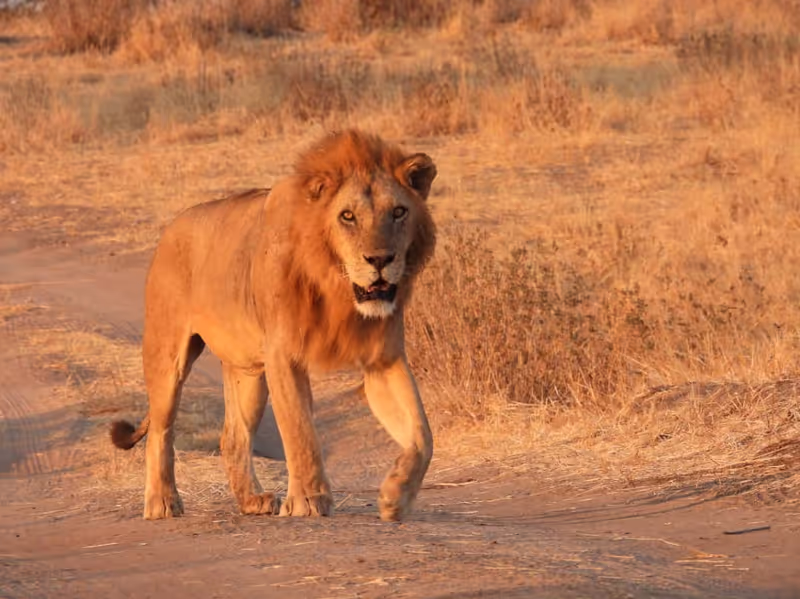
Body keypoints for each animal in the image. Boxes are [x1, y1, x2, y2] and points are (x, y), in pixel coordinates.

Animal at [110, 130, 437, 522]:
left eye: (399, 212)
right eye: (347, 216)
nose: (380, 259)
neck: (338, 290)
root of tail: (172, 227)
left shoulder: (383, 359)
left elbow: (422, 434)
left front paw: (396, 495)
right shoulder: (285, 355)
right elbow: (300, 431)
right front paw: (309, 500)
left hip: (248, 373)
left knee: (232, 436)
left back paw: (252, 500)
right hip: (167, 355)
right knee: (160, 430)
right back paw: (162, 502)